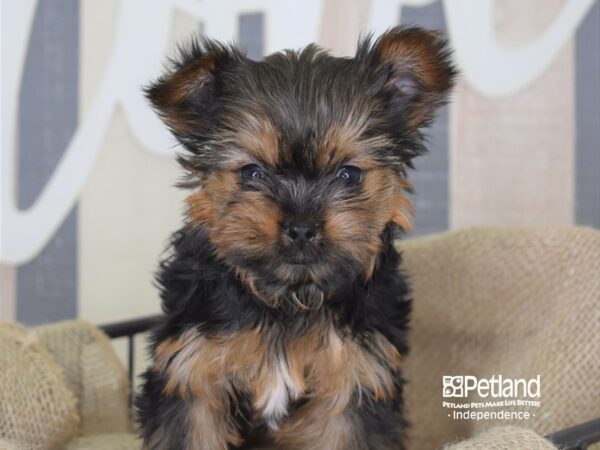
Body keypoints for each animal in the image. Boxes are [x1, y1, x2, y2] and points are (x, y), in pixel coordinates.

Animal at [136, 25, 454, 450]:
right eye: (252, 173)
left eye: (349, 174)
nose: (301, 226)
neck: (290, 299)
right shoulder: (192, 371)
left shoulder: (355, 381)